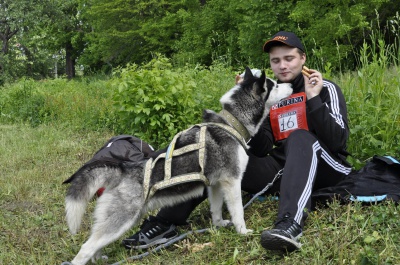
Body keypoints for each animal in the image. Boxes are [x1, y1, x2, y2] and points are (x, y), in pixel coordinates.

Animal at [64, 67, 292, 262]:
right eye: (274, 85)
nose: (289, 83)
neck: (232, 124)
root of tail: (123, 169)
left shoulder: (215, 185)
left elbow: (216, 210)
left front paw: (218, 225)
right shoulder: (232, 182)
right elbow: (238, 213)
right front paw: (243, 232)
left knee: (94, 245)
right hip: (121, 221)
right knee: (85, 249)